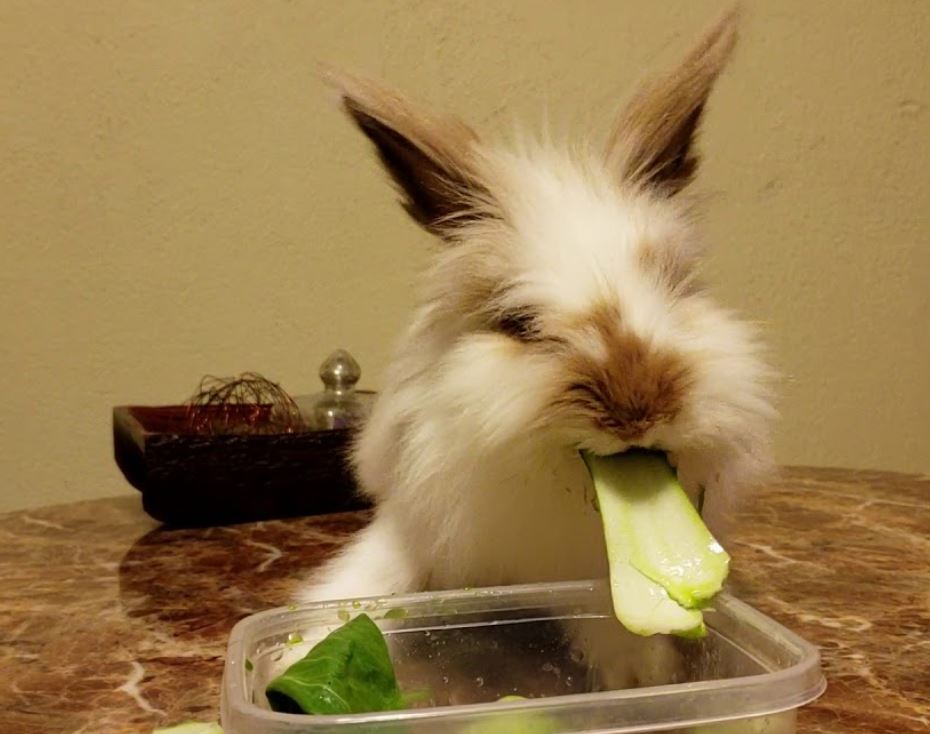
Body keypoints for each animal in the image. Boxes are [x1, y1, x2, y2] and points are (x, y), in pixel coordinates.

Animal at [298, 5, 768, 688]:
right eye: (518, 323)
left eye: (675, 286)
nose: (638, 408)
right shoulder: (418, 529)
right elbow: (368, 585)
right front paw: (295, 652)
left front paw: (641, 680)